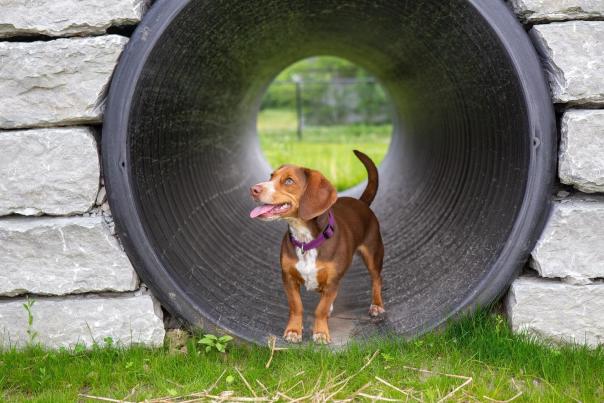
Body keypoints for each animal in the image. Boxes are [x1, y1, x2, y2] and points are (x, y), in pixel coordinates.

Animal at [251, 151, 384, 344]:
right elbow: (296, 306)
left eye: (289, 181)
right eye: (271, 176)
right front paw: (294, 330)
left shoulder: (332, 282)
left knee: (376, 279)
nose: (253, 189)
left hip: (373, 254)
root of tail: (362, 203)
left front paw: (320, 333)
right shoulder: (288, 278)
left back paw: (377, 305)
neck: (305, 240)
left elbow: (320, 309)